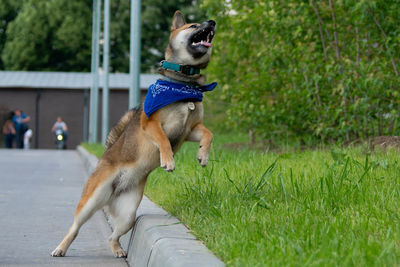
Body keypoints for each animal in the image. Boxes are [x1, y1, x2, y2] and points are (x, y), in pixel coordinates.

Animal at [51, 11, 217, 260]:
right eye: (193, 25)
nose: (213, 22)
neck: (183, 84)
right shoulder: (151, 123)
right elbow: (163, 140)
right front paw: (168, 161)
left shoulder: (191, 129)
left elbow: (209, 134)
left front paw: (203, 155)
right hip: (91, 200)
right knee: (75, 227)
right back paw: (61, 247)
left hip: (128, 214)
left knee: (112, 236)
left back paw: (118, 249)